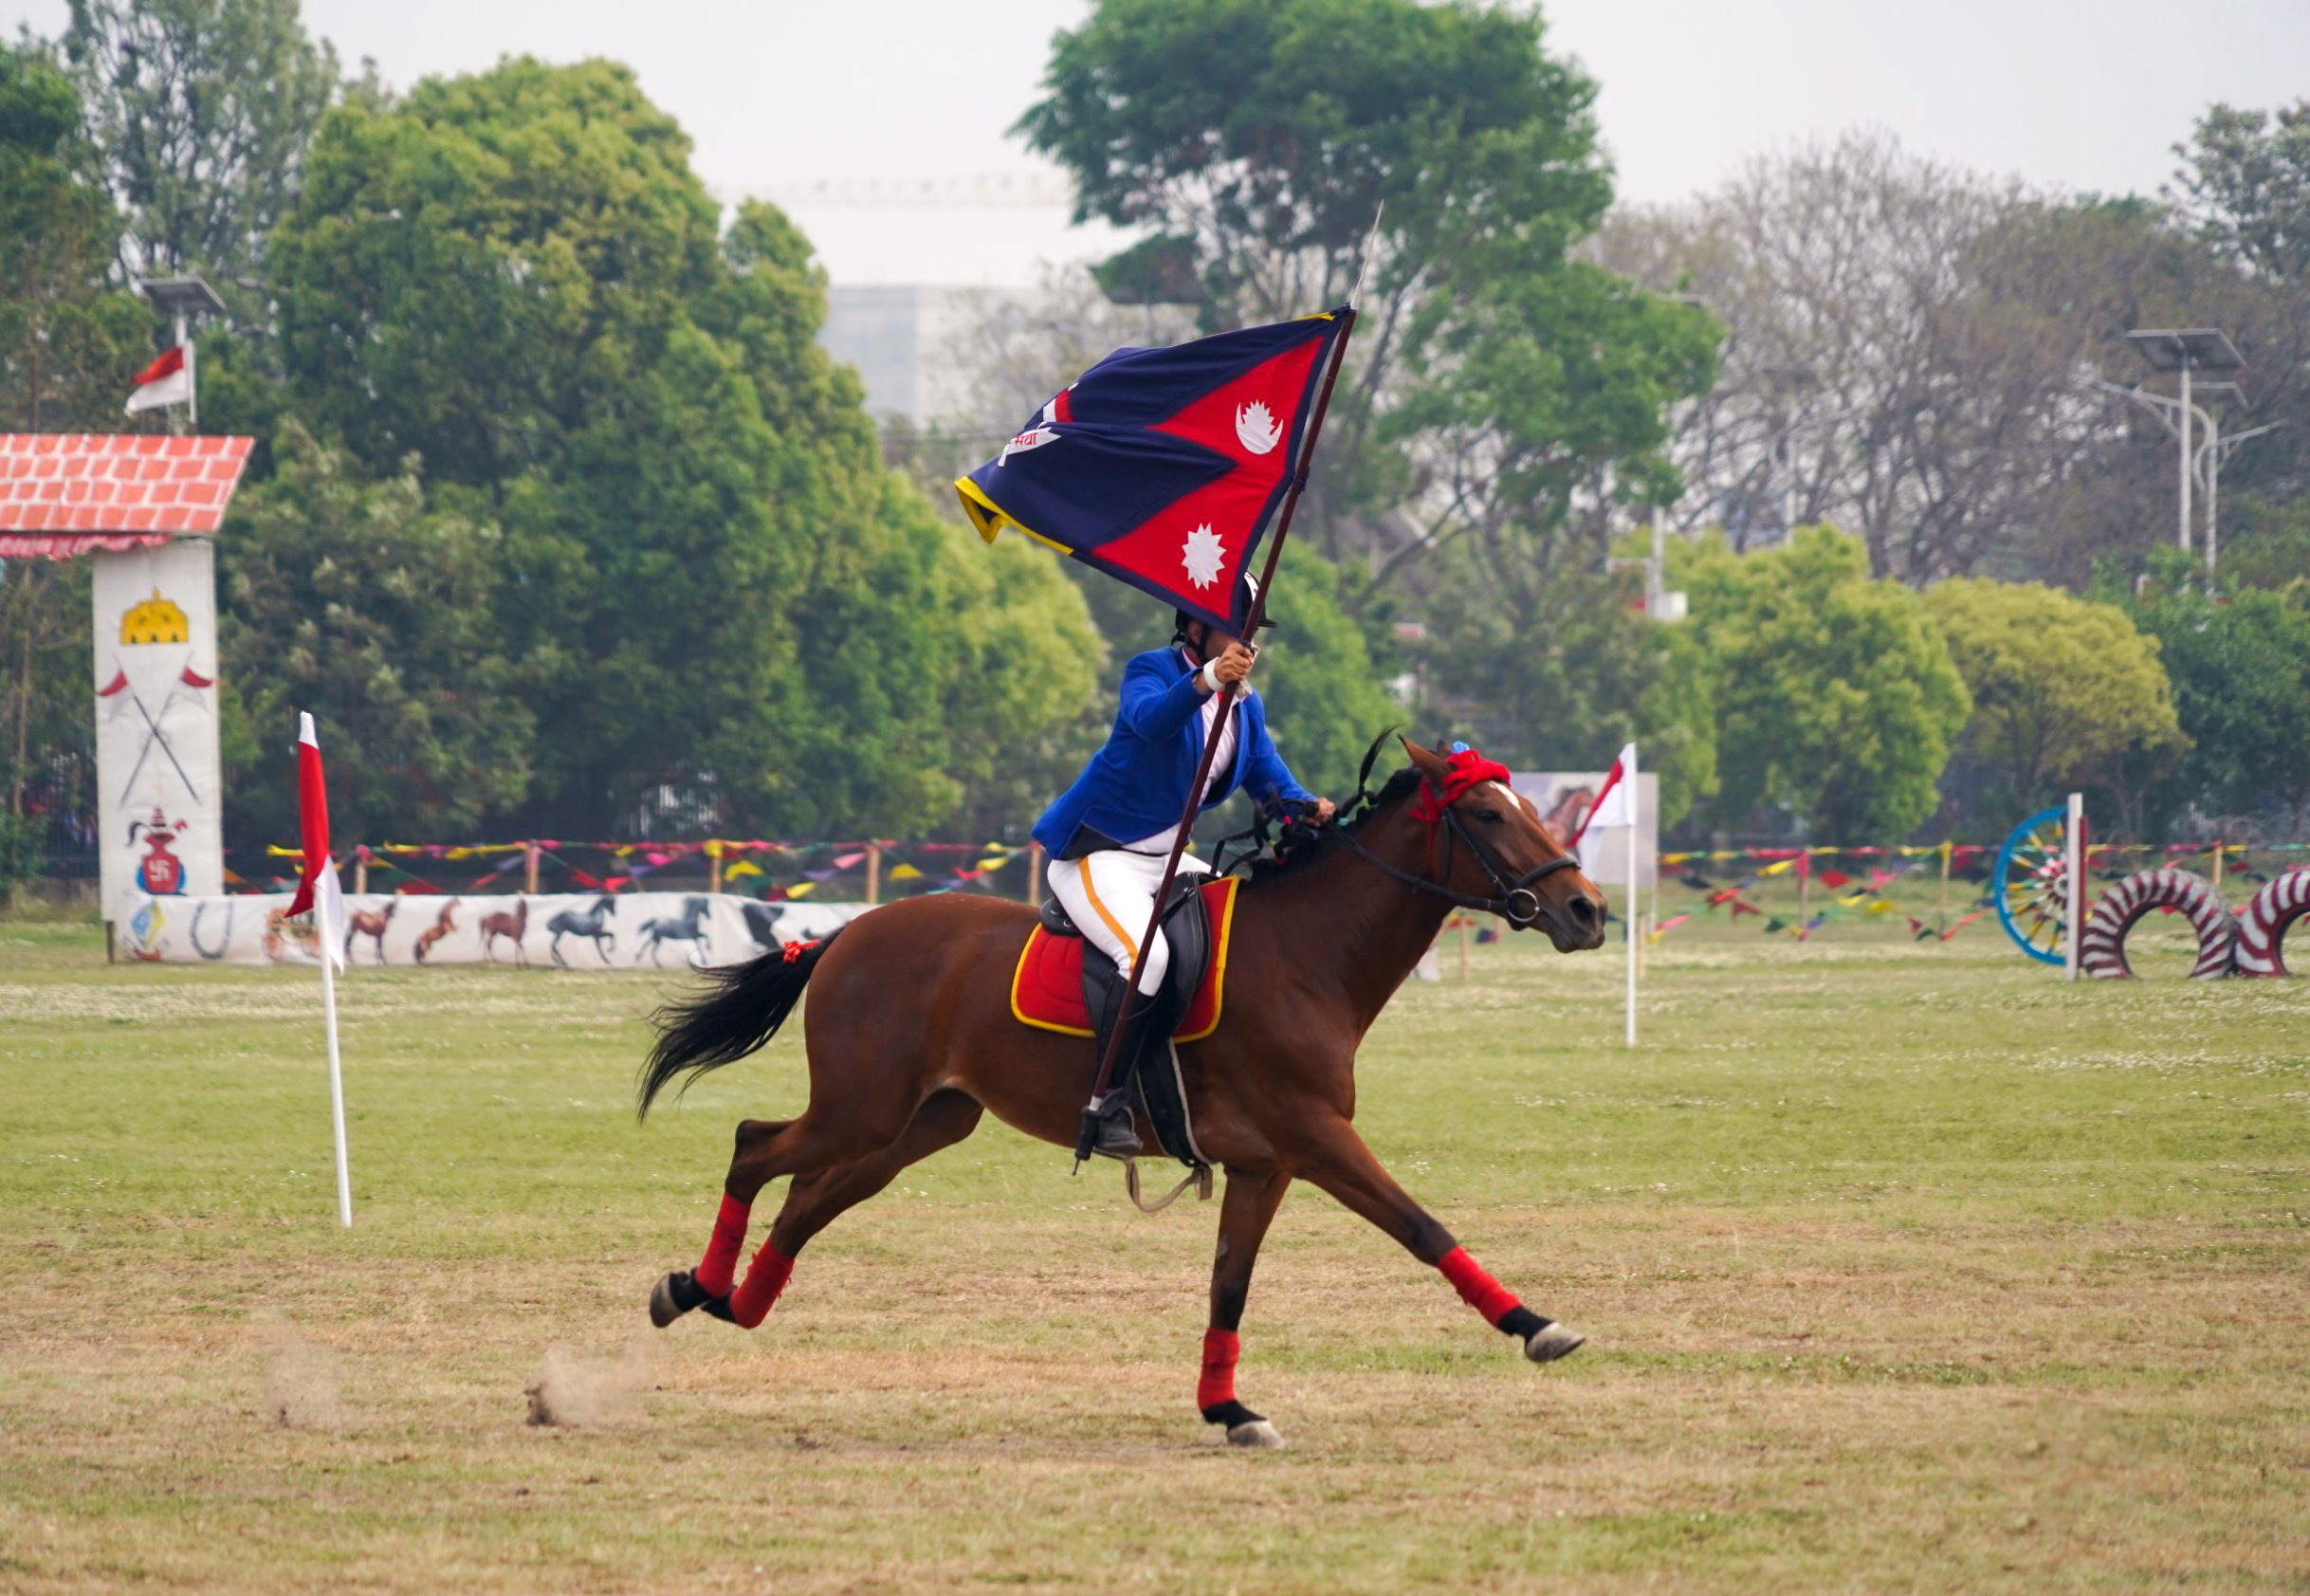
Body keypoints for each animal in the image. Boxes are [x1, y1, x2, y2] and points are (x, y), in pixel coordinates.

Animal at [637, 734, 1607, 1450]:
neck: (1309, 953)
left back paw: (737, 1298)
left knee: (809, 1196)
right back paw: (695, 1285)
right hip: (862, 1108)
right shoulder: (1316, 1135)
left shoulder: (1266, 1165)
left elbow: (1229, 1284)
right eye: (1488, 813)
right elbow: (1421, 1225)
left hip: (920, 1124)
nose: (1588, 910)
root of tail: (843, 934)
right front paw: (1535, 1323)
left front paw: (1228, 1408)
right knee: (755, 1145)